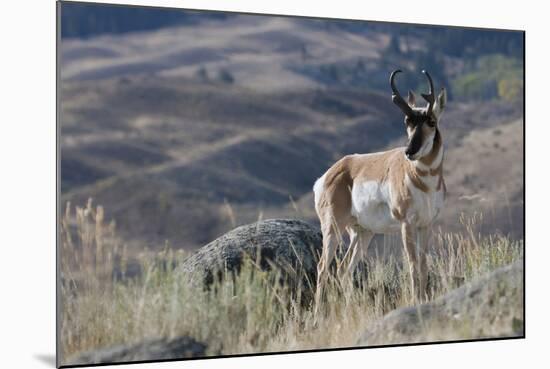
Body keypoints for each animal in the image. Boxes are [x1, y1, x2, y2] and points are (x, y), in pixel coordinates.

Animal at [314, 69, 448, 310]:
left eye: (431, 121)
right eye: (407, 121)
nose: (409, 151)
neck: (424, 183)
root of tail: (329, 174)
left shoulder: (426, 225)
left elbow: (423, 265)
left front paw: (424, 300)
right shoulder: (407, 224)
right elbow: (413, 264)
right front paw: (416, 301)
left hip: (362, 233)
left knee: (344, 270)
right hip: (332, 228)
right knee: (322, 268)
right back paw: (318, 315)